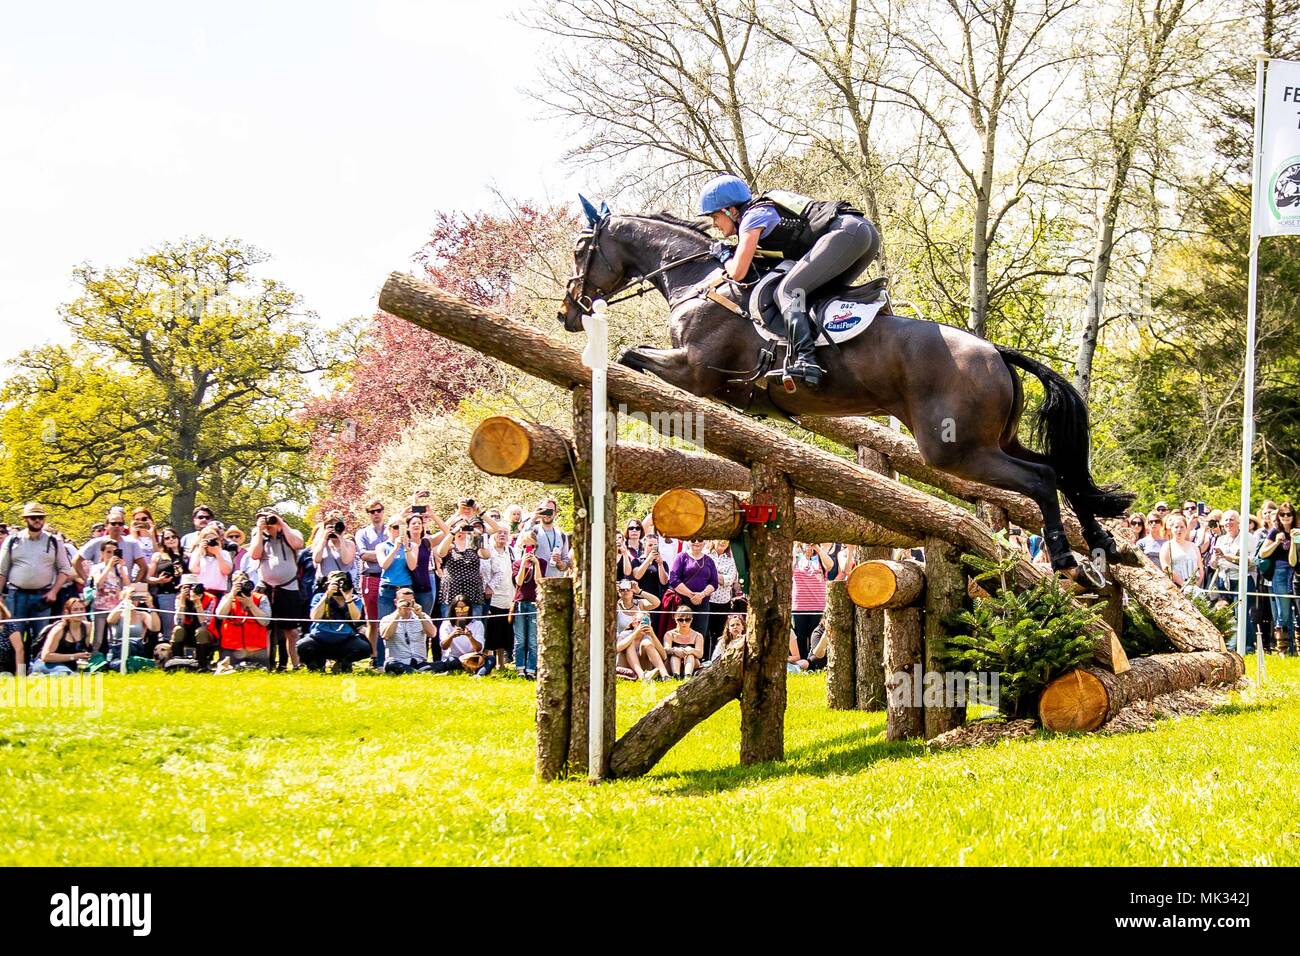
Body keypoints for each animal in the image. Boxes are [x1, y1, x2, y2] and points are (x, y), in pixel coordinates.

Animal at [553, 210, 1133, 582]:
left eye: (582, 250)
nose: (567, 312)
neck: (697, 279)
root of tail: (995, 350)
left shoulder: (696, 370)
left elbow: (631, 357)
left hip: (954, 450)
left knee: (1038, 480)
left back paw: (1067, 561)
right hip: (994, 440)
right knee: (1057, 468)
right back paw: (1102, 545)